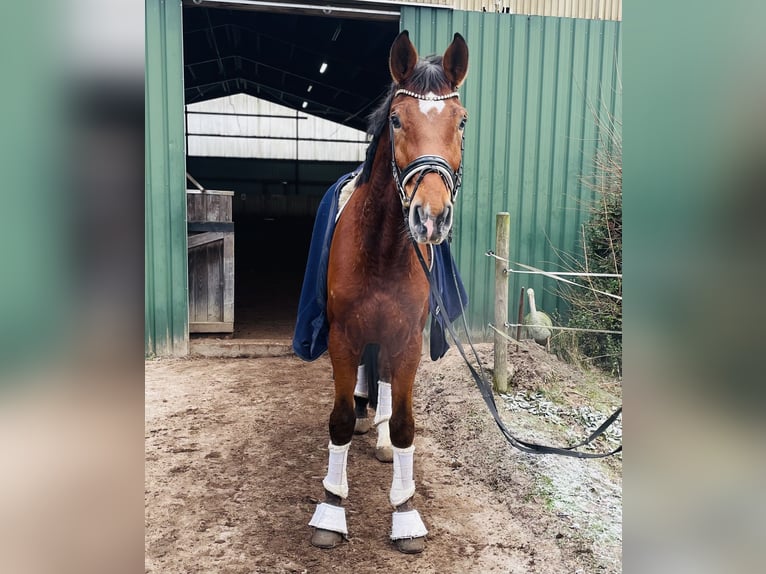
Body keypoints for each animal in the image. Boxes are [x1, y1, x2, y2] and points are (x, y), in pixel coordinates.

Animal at [308, 30, 468, 552]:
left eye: (461, 122)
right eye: (397, 120)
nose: (430, 217)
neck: (382, 248)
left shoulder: (406, 340)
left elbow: (403, 424)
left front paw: (406, 513)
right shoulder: (342, 336)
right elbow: (338, 418)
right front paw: (331, 509)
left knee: (379, 381)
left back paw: (376, 433)